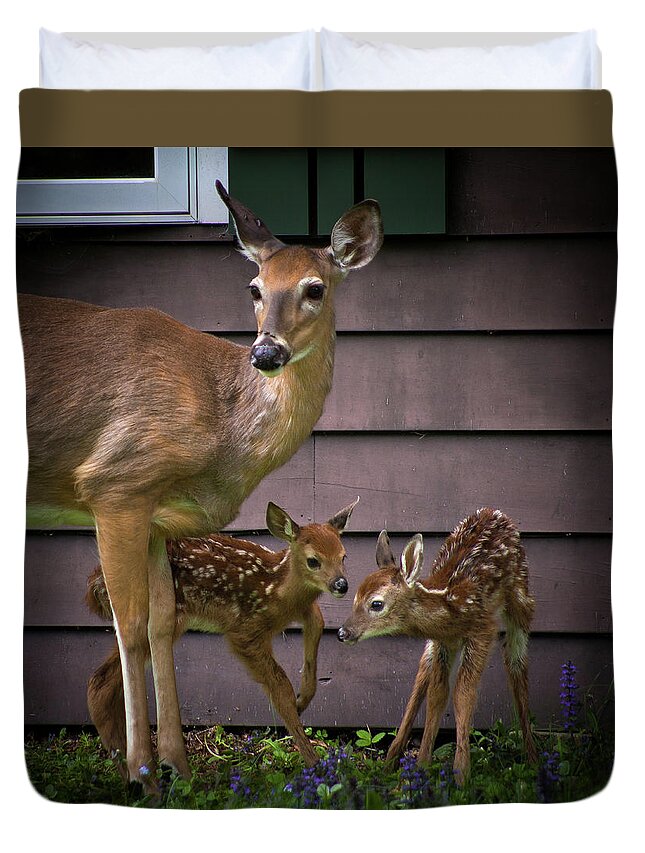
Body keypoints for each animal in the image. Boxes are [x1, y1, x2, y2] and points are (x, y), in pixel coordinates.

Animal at [85, 500, 358, 772]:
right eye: (313, 561)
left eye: (344, 556)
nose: (341, 585)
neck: (276, 591)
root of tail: (95, 584)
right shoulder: (244, 630)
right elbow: (281, 689)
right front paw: (315, 762)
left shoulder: (302, 611)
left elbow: (318, 624)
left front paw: (304, 699)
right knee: (102, 682)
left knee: (104, 682)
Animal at [338, 510, 540, 784]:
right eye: (355, 598)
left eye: (376, 604)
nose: (343, 632)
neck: (451, 608)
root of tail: (496, 513)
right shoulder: (443, 641)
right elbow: (437, 694)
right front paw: (423, 766)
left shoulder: (482, 631)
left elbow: (463, 695)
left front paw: (461, 776)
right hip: (433, 647)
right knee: (422, 676)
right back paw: (391, 761)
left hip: (521, 600)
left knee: (517, 666)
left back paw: (533, 759)